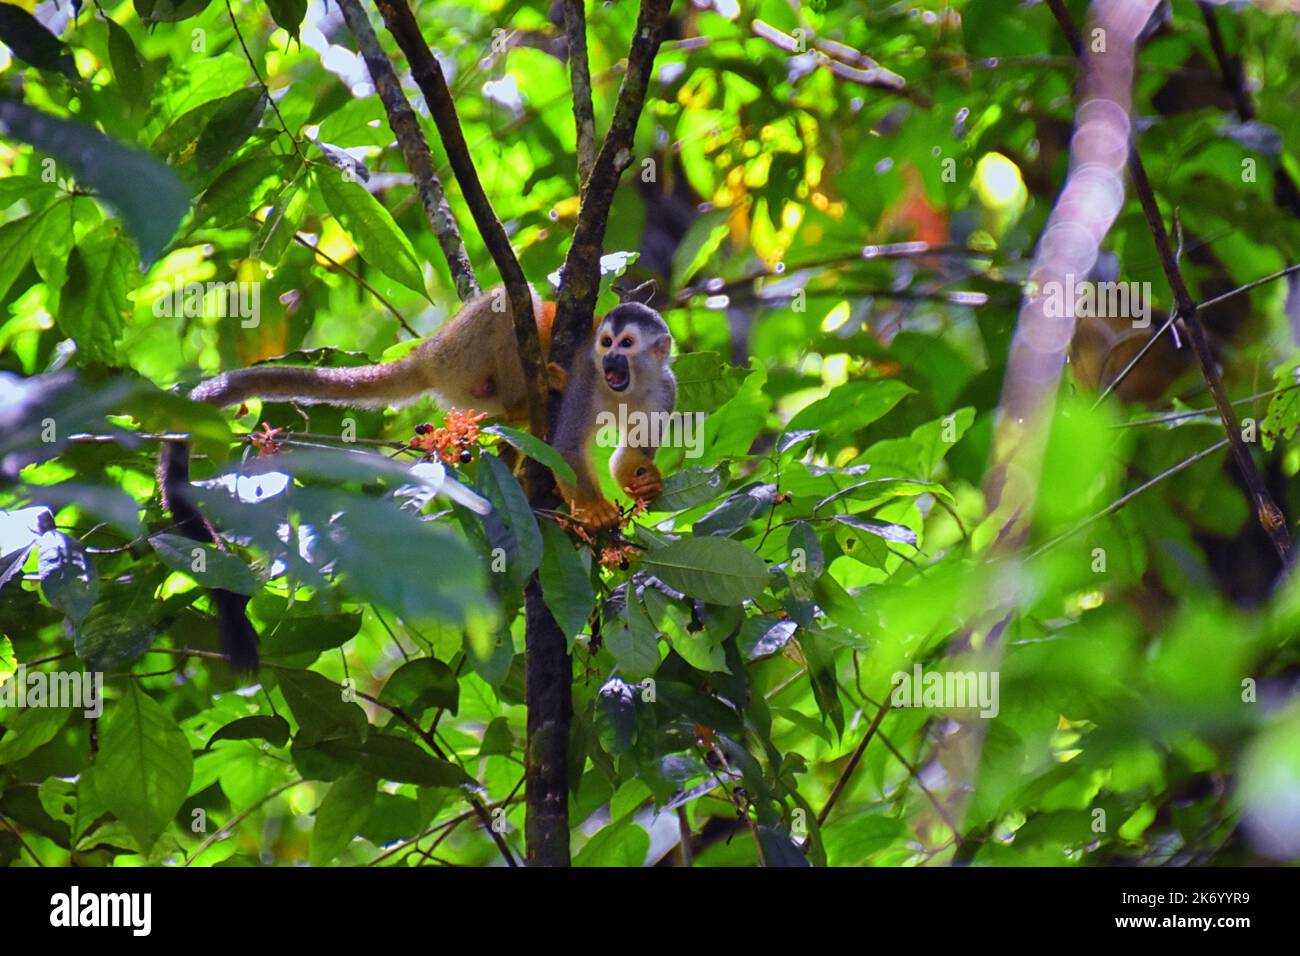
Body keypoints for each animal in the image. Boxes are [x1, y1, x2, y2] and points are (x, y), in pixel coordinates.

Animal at [158, 286, 676, 670]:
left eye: (626, 345)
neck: (622, 385)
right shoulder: (589, 380)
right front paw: (593, 510)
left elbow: (630, 453)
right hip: (462, 357)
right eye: (606, 343)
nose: (608, 359)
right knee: (512, 300)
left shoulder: (663, 389)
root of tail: (428, 351)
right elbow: (567, 450)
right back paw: (532, 398)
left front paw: (643, 481)